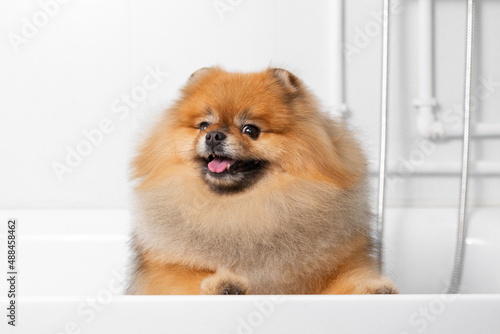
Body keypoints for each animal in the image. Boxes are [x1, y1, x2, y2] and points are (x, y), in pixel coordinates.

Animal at [128, 67, 398, 294]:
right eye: (204, 125)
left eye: (250, 130)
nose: (214, 135)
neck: (243, 207)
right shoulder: (163, 271)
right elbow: (187, 280)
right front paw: (223, 284)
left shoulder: (337, 265)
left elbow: (347, 279)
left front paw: (373, 288)